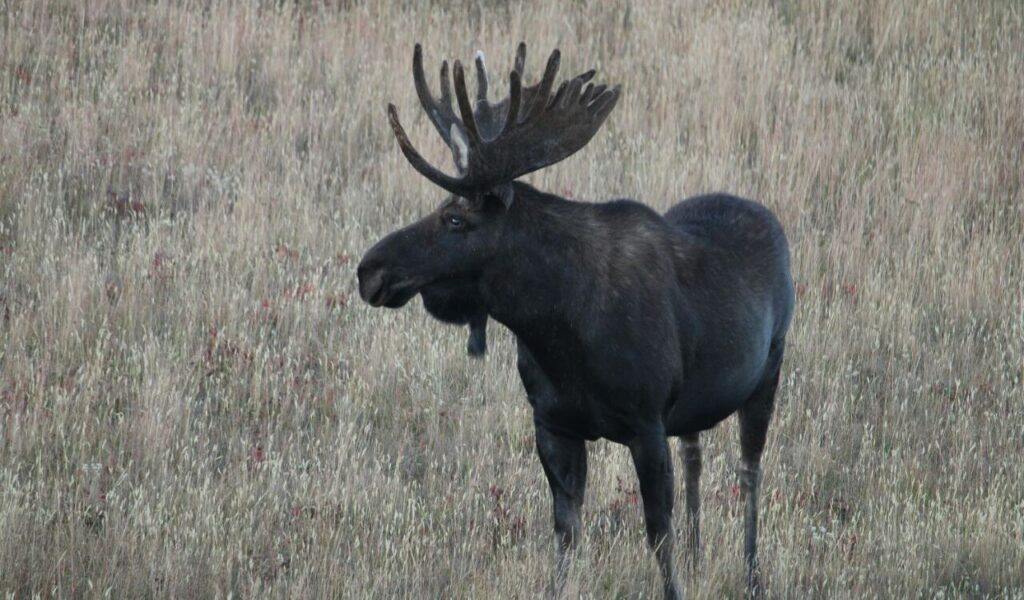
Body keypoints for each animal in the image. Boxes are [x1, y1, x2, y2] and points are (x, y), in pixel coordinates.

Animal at [357, 43, 795, 600]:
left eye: (455, 218)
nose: (369, 270)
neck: (556, 330)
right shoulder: (553, 422)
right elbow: (566, 531)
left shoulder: (646, 423)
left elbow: (658, 534)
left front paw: (677, 587)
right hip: (697, 404)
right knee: (696, 455)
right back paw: (702, 559)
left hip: (768, 370)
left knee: (749, 470)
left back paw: (753, 573)